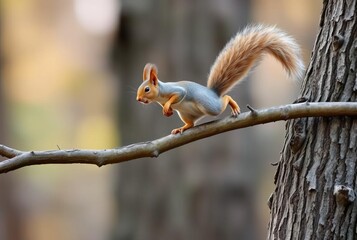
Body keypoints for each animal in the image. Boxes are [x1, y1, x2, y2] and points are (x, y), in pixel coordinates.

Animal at [136, 25, 304, 134]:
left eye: (147, 89)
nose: (138, 99)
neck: (160, 95)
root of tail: (213, 93)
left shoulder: (176, 90)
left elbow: (178, 95)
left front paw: (167, 105)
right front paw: (167, 110)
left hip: (209, 105)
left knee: (225, 99)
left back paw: (233, 105)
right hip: (185, 114)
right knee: (191, 124)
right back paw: (182, 128)